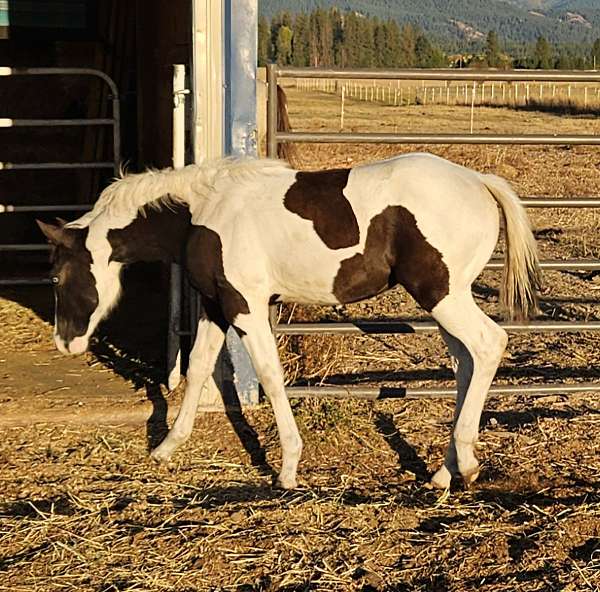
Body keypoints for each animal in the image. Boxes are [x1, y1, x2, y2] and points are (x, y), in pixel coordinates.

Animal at [38, 154, 544, 490]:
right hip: (445, 302)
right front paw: (166, 448)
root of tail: (478, 181)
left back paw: (467, 467)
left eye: (57, 276)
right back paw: (444, 471)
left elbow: (270, 374)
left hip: (443, 297)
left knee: (488, 345)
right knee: (465, 365)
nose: (65, 343)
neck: (203, 212)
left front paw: (287, 469)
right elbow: (199, 368)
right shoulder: (216, 306)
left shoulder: (245, 304)